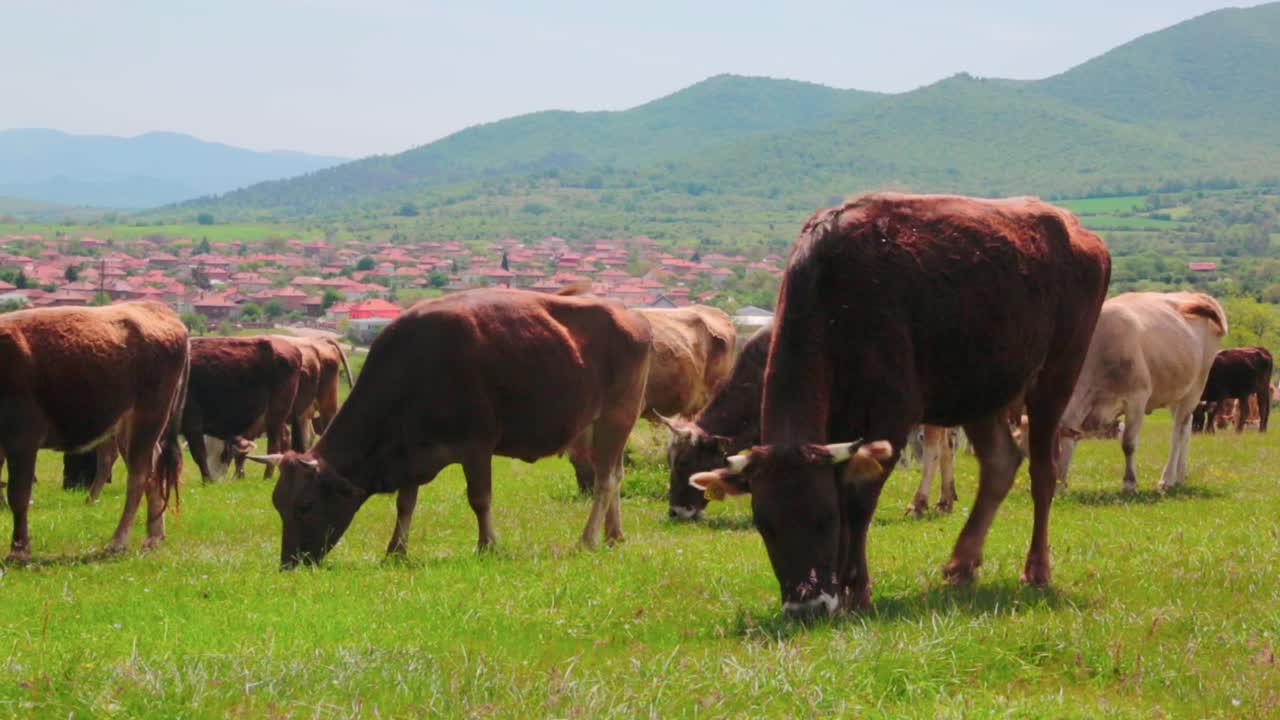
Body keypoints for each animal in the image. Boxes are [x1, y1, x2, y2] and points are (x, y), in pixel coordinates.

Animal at [0, 302, 189, 559]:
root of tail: (154, 307)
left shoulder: (21, 436)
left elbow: (18, 494)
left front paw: (18, 550)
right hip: (127, 427)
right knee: (153, 470)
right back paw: (153, 536)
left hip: (150, 416)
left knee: (139, 476)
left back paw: (118, 541)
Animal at [244, 288, 652, 568]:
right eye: (278, 504)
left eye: (306, 505)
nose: (289, 563)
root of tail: (632, 317)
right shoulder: (409, 452)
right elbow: (405, 504)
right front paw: (395, 550)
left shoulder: (477, 446)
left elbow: (480, 499)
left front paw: (487, 545)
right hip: (603, 425)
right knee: (614, 474)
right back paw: (614, 535)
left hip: (617, 416)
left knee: (604, 480)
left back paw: (589, 539)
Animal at [690, 193, 1110, 618]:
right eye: (765, 524)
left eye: (824, 518)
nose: (807, 607)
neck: (834, 292)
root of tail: (1077, 231)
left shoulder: (891, 419)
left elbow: (858, 501)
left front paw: (856, 588)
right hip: (980, 392)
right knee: (1000, 463)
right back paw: (962, 561)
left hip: (1056, 377)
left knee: (1043, 473)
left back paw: (1037, 568)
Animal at [1058, 292, 1228, 494]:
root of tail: (1196, 295)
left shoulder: (1136, 399)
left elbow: (1128, 443)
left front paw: (1129, 484)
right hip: (1175, 391)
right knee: (1187, 427)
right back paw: (1179, 476)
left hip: (1196, 386)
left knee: (1178, 432)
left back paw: (1167, 479)